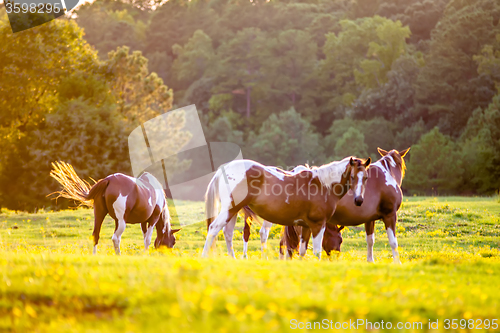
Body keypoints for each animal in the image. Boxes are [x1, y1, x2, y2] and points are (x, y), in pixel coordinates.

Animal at [49, 161, 179, 254]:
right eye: (173, 241)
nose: (166, 254)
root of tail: (108, 179)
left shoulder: (143, 222)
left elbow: (145, 237)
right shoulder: (153, 219)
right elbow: (147, 238)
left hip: (99, 214)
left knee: (96, 235)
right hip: (122, 222)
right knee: (116, 238)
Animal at [203, 157, 372, 258]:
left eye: (366, 178)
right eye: (352, 177)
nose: (359, 200)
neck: (322, 185)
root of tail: (225, 169)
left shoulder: (306, 226)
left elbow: (302, 250)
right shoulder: (318, 225)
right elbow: (316, 251)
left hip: (233, 211)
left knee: (228, 234)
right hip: (229, 210)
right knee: (213, 228)